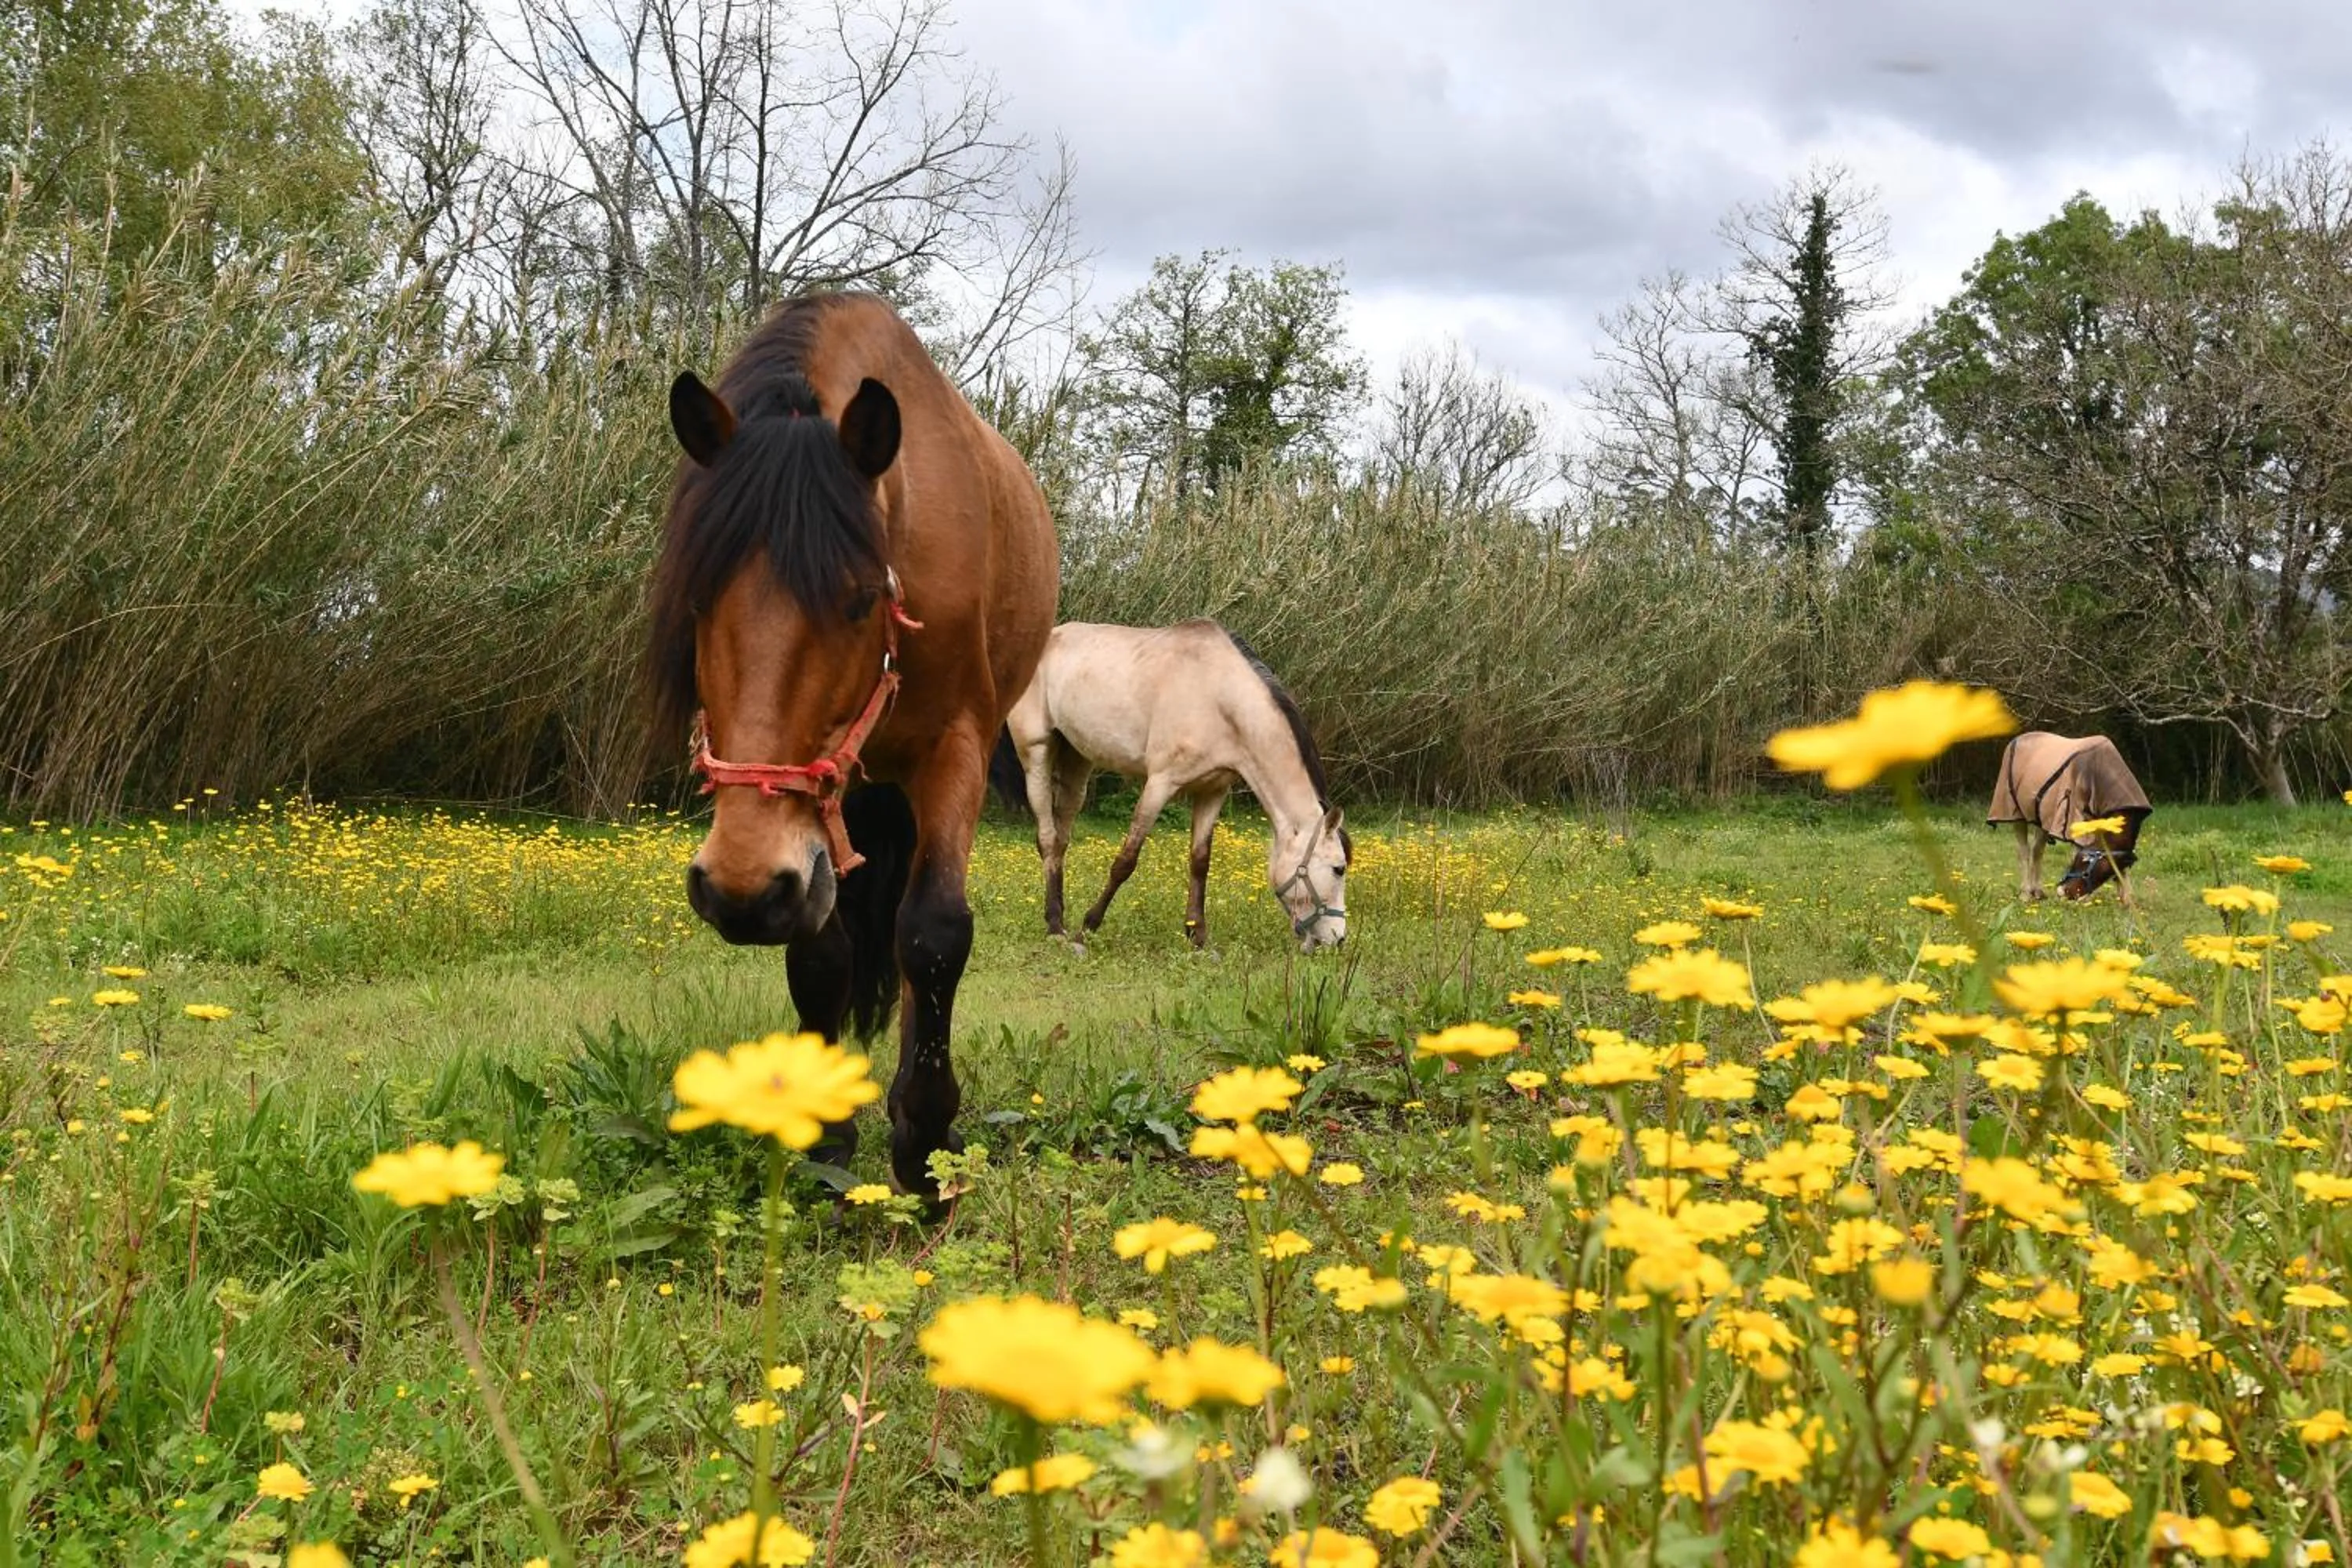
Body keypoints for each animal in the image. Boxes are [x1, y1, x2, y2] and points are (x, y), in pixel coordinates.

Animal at [648, 292, 1059, 1197]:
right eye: (695, 597)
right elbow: (822, 957)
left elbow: (934, 936)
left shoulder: (954, 750)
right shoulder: (806, 844)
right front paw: (827, 1135)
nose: (740, 887)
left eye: (863, 596)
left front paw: (924, 1145)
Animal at [989, 619, 1350, 953]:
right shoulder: (1160, 784)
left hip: (1077, 758)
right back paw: (1056, 928)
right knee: (1048, 837)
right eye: (1339, 869)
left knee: (1062, 838)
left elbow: (1200, 862)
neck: (1218, 696)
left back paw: (1059, 917)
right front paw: (1088, 928)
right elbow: (1126, 860)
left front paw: (1198, 937)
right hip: (1036, 753)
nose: (1337, 939)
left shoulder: (1212, 791)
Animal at [1986, 731, 2152, 903]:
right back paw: (2025, 894)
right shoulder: (2075, 819)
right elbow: (2075, 850)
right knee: (2024, 851)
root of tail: (2018, 738)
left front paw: (2127, 899)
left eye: (2089, 862)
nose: (2063, 891)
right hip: (2015, 813)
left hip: (2043, 819)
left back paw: (2037, 891)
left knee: (2037, 850)